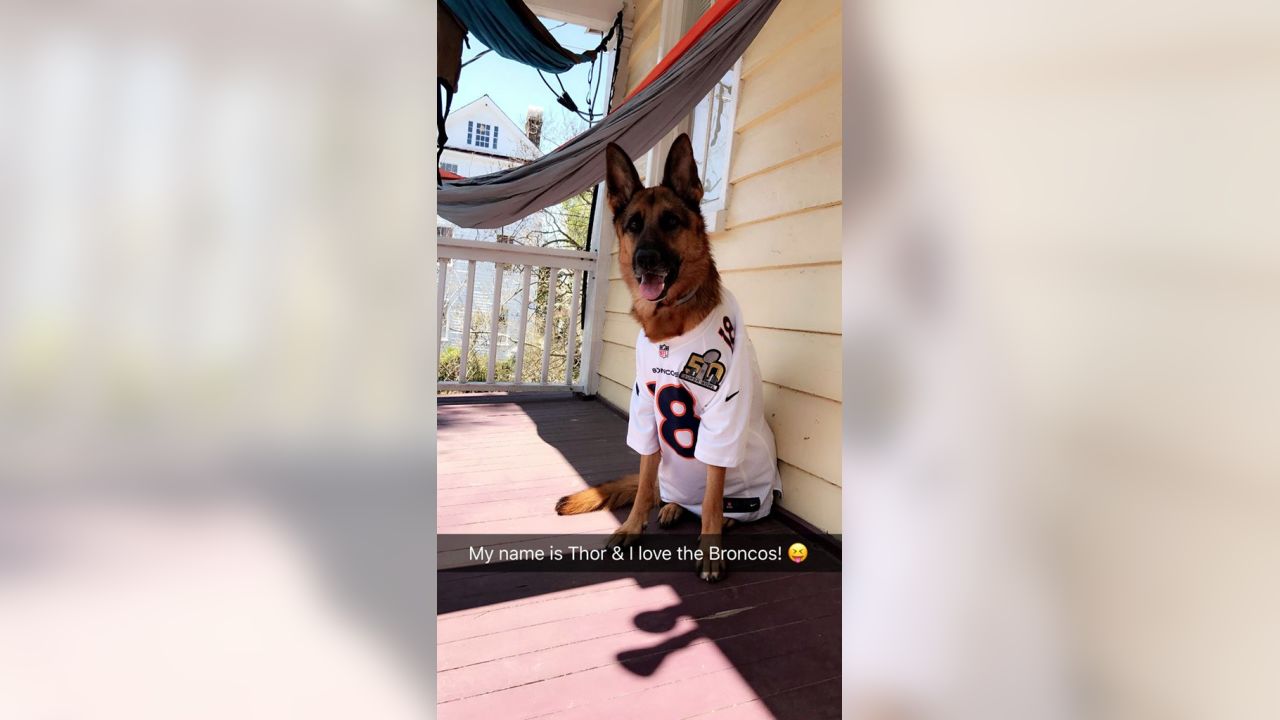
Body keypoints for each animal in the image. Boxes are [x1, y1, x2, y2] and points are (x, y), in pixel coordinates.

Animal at [555, 134, 747, 579]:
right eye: (633, 225)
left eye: (671, 222)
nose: (644, 260)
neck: (672, 322)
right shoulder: (645, 412)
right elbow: (643, 483)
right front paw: (631, 527)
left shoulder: (722, 419)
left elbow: (713, 497)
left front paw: (711, 550)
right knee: (664, 491)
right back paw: (674, 506)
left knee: (715, 500)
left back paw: (725, 518)